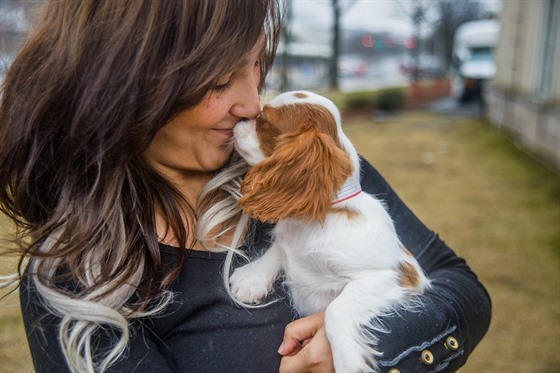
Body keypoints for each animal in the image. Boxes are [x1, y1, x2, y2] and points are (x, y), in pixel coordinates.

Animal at [231, 91, 428, 372]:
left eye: (264, 120)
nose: (238, 120)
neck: (313, 220)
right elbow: (280, 246)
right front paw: (253, 277)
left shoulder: (396, 275)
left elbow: (336, 310)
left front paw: (348, 360)